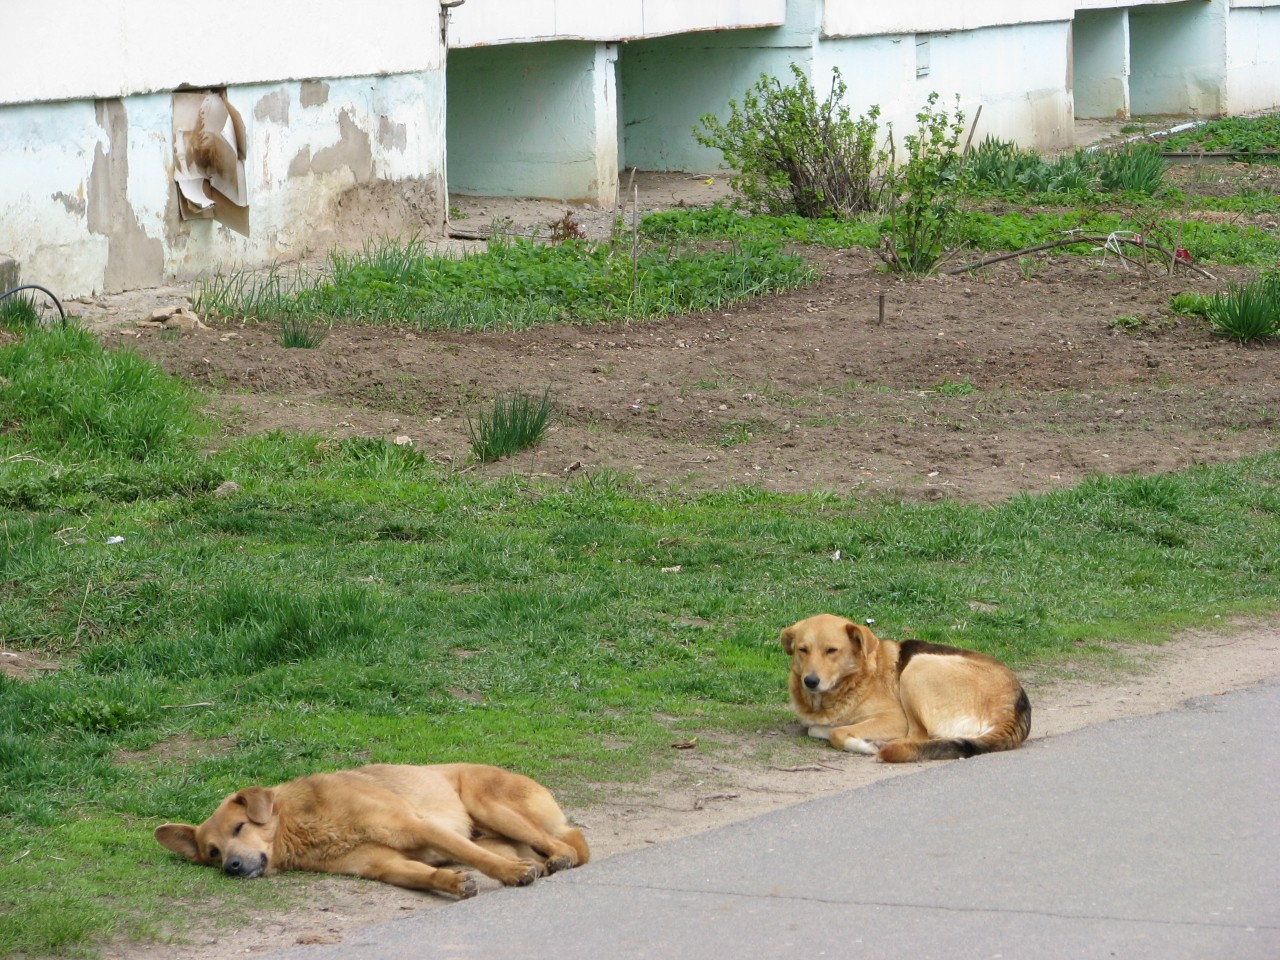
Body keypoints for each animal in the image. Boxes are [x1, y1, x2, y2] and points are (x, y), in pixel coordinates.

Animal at [154, 762, 588, 901]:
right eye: (213, 852)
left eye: (240, 826)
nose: (231, 867)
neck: (306, 826)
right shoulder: (382, 866)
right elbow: (426, 874)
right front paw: (451, 882)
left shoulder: (421, 827)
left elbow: (476, 857)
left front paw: (510, 876)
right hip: (502, 833)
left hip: (490, 806)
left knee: (570, 843)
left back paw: (556, 858)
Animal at [778, 616, 1029, 768]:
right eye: (802, 650)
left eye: (831, 650)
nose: (810, 681)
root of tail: (1014, 707)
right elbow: (817, 729)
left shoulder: (894, 719)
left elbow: (835, 733)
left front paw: (863, 744)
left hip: (917, 668)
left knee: (917, 737)